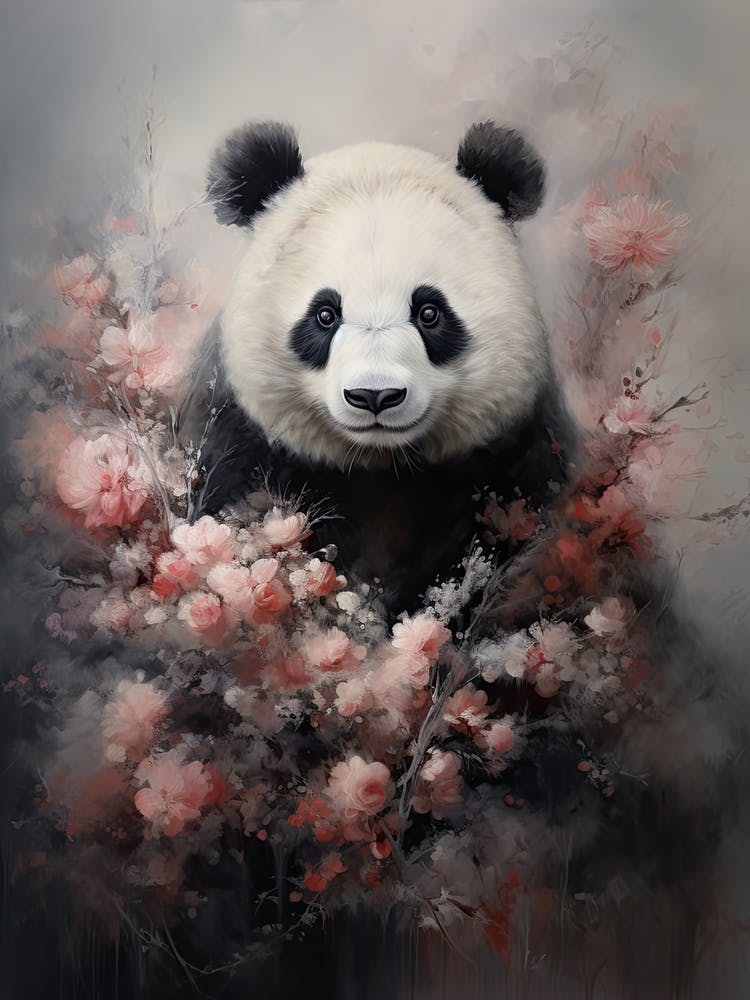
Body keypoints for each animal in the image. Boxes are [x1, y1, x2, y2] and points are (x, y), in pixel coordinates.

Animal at [186, 120, 574, 612]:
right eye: (325, 314)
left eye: (429, 312)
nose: (375, 396)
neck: (382, 464)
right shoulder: (240, 440)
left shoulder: (518, 455)